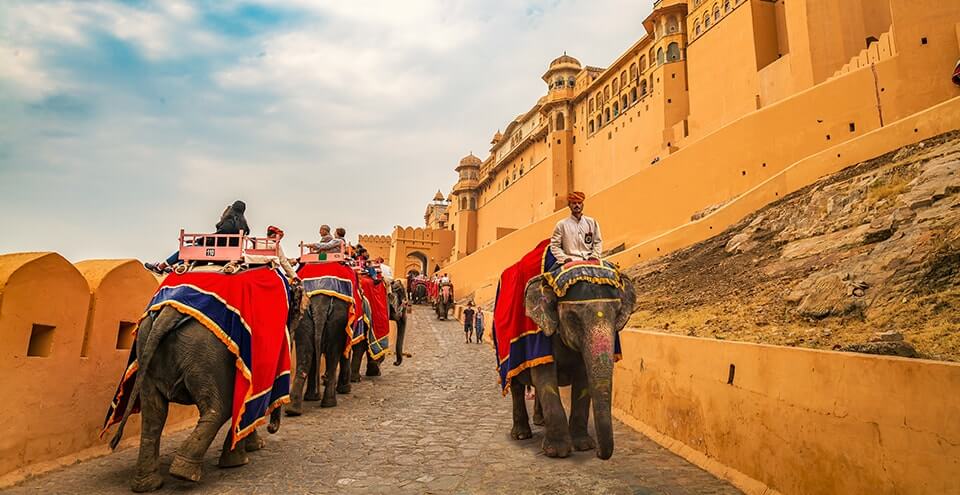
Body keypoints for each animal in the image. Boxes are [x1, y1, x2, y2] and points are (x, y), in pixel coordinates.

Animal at [108, 284, 304, 492]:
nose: (271, 427)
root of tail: (168, 313)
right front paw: (246, 454)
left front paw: (253, 447)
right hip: (208, 353)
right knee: (219, 408)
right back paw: (185, 473)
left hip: (148, 344)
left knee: (153, 414)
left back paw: (147, 484)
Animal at [516, 272, 636, 460]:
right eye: (573, 318)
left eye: (617, 314)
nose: (599, 453)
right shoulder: (540, 338)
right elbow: (545, 378)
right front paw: (557, 452)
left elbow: (583, 380)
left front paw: (584, 446)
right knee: (516, 387)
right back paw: (521, 434)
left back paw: (540, 421)